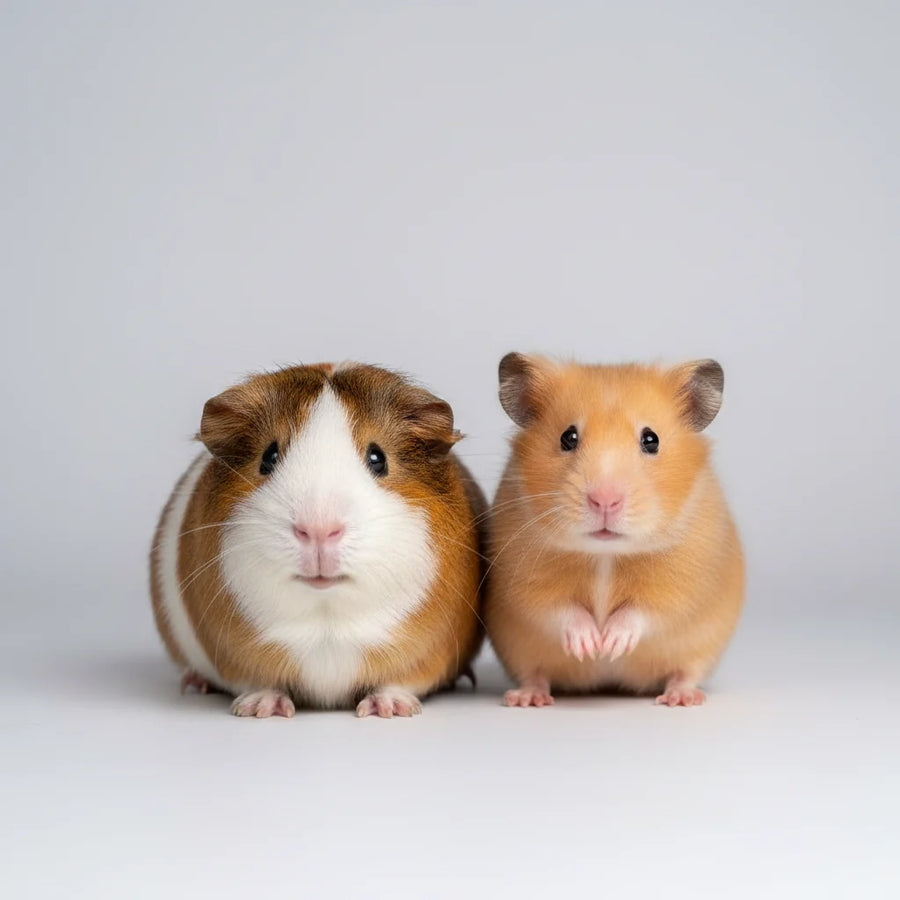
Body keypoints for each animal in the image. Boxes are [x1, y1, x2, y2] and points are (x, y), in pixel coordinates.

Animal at [149, 362, 486, 718]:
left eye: (378, 458)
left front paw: (390, 708)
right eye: (268, 457)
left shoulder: (425, 656)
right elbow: (259, 681)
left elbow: (398, 682)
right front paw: (261, 709)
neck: (327, 623)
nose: (319, 529)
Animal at [484, 354, 744, 708]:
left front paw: (610, 644)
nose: (605, 500)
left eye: (651, 440)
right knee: (534, 674)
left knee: (686, 672)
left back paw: (681, 698)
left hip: (703, 646)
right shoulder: (524, 580)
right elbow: (558, 609)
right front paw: (590, 645)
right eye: (568, 437)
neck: (605, 554)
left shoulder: (683, 582)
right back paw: (527, 698)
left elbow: (645, 611)